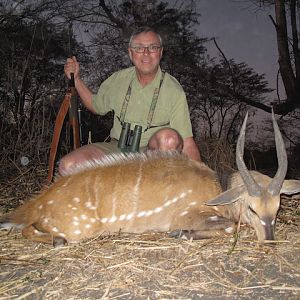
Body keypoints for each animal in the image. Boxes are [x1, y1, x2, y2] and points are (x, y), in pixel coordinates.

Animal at [0, 112, 300, 246]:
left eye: (277, 208)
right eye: (251, 208)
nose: (270, 241)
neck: (218, 188)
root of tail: (38, 201)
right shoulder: (186, 214)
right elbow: (230, 228)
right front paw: (180, 233)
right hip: (78, 228)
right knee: (28, 229)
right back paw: (57, 241)